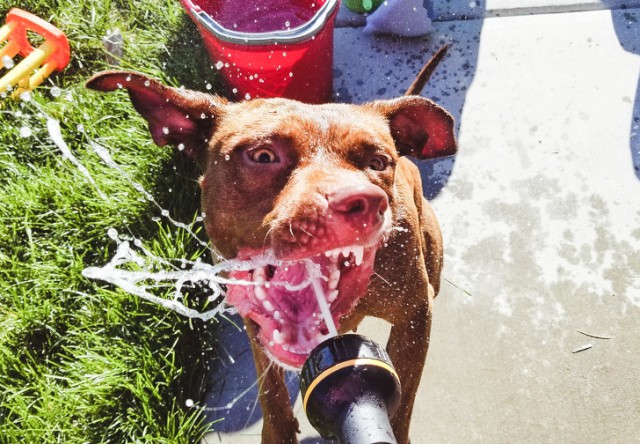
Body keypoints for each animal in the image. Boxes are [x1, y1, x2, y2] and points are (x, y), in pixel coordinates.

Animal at [87, 46, 456, 442]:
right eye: (263, 155)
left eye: (377, 162)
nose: (362, 201)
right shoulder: (253, 315)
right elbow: (269, 387)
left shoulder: (414, 316)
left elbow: (402, 403)